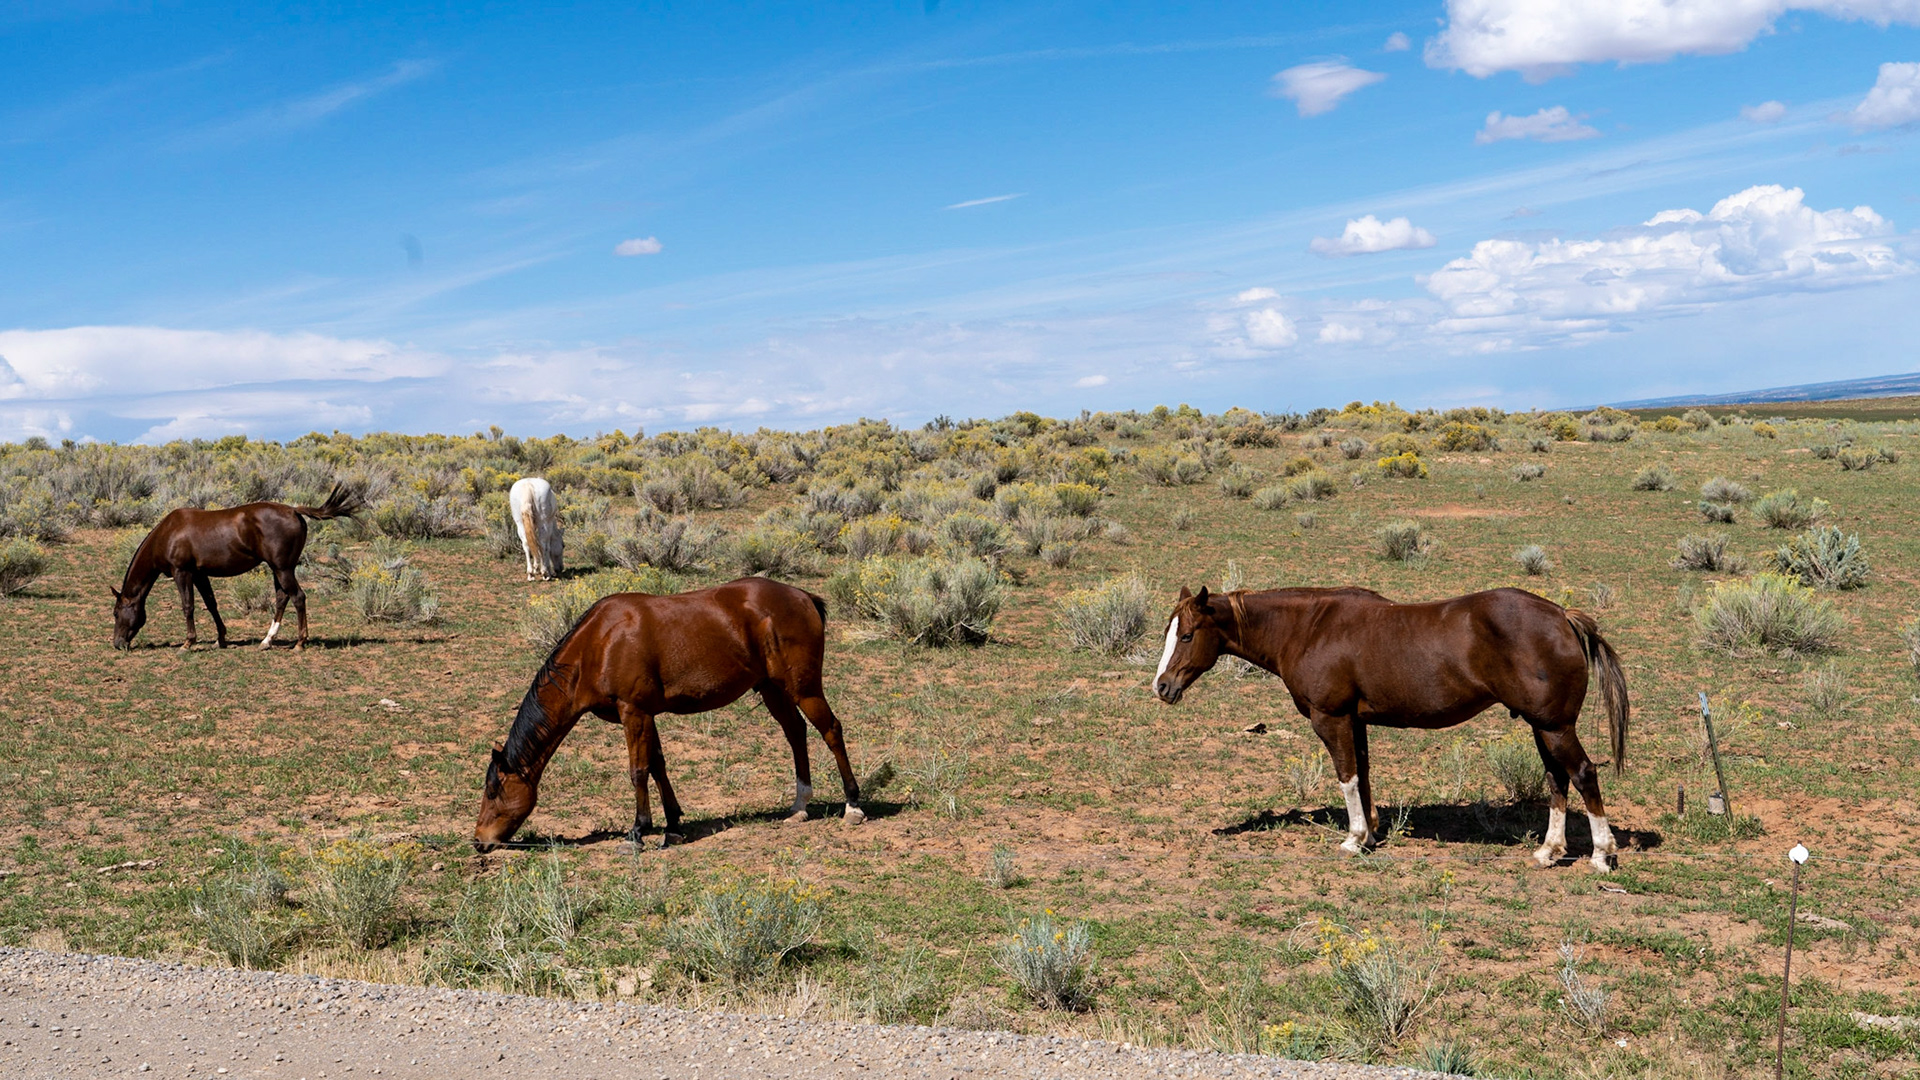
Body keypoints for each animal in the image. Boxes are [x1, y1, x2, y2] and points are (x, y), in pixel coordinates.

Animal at [111, 484, 362, 651]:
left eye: (116, 612)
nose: (117, 643)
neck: (168, 533)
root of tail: (294, 510)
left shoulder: (182, 573)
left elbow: (188, 606)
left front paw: (188, 642)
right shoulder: (200, 574)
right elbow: (211, 604)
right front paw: (220, 639)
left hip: (283, 569)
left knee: (298, 597)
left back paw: (300, 643)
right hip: (278, 569)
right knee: (282, 598)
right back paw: (266, 641)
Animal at [473, 576, 865, 852]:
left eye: (493, 791)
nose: (479, 841)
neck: (599, 644)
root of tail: (803, 596)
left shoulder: (633, 712)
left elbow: (638, 770)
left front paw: (637, 831)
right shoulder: (647, 714)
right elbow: (658, 765)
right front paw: (673, 826)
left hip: (804, 689)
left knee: (831, 730)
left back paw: (852, 804)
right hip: (773, 690)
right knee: (796, 733)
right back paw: (799, 806)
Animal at [1154, 585, 1629, 871]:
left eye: (1187, 635)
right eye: (1169, 633)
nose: (1162, 686)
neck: (1308, 629)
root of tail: (1562, 615)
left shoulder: (1331, 719)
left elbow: (1346, 777)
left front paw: (1353, 839)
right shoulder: (1354, 721)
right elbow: (1362, 775)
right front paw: (1370, 832)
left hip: (1554, 727)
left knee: (1583, 774)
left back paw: (1601, 854)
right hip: (1541, 727)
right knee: (1557, 780)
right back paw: (1549, 851)